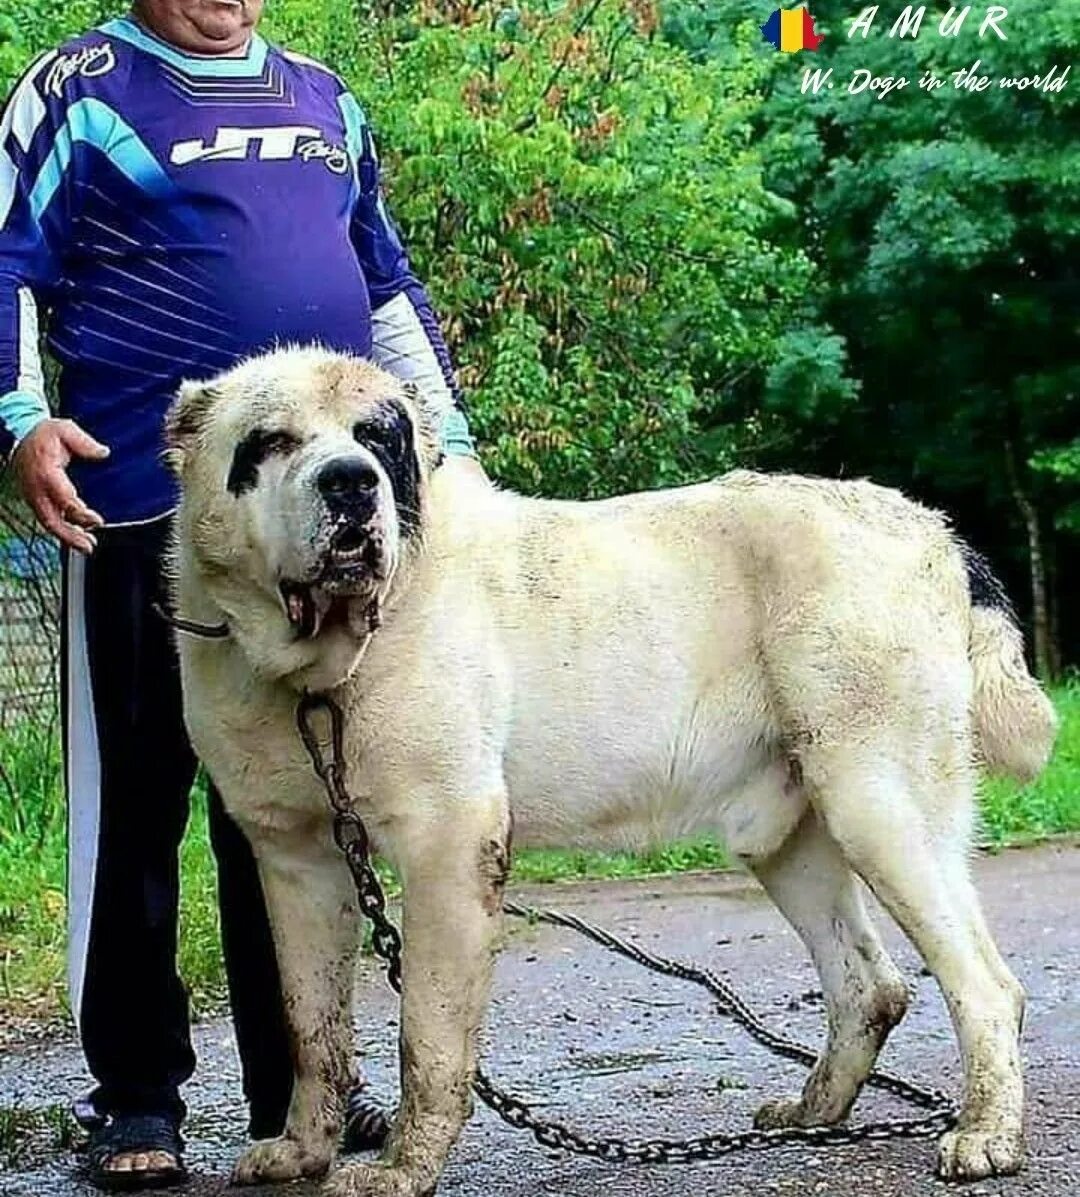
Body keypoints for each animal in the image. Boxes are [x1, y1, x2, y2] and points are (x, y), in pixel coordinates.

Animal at [166, 347, 1058, 1197]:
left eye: (379, 438)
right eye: (271, 442)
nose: (351, 480)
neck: (322, 671)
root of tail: (933, 531)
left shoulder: (446, 849)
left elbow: (428, 1036)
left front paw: (403, 1168)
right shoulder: (298, 864)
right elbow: (311, 1027)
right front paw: (302, 1149)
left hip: (880, 807)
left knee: (986, 985)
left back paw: (985, 1135)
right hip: (790, 839)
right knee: (870, 986)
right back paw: (815, 1110)